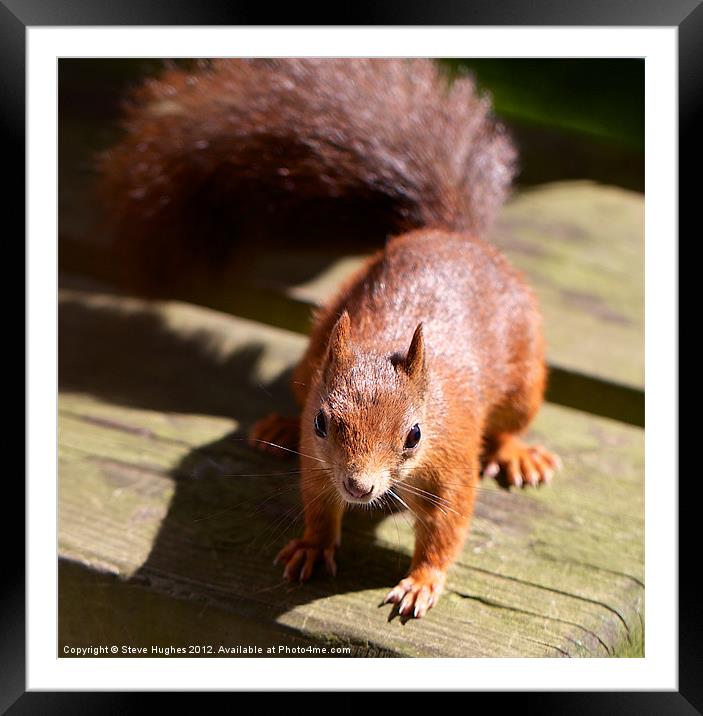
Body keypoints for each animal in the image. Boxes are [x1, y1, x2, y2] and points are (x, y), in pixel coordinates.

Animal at [99, 60, 560, 620]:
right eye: (322, 423)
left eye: (415, 435)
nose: (359, 486)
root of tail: (454, 236)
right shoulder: (320, 462)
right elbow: (319, 504)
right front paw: (313, 546)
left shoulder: (451, 460)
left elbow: (445, 528)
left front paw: (422, 581)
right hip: (313, 352)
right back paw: (278, 425)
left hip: (523, 378)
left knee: (512, 422)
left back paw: (519, 454)